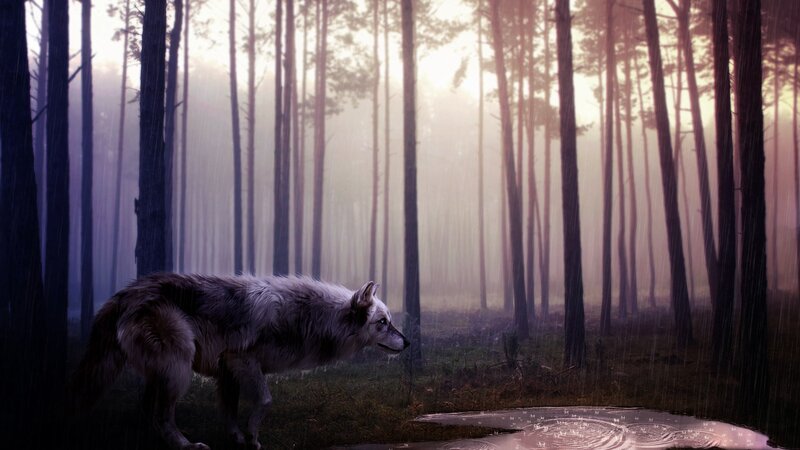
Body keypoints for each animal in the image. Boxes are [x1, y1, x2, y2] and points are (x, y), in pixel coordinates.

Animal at [69, 273, 409, 450]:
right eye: (383, 323)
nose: (407, 342)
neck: (307, 317)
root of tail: (124, 294)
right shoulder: (241, 360)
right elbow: (266, 401)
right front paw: (253, 436)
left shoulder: (227, 372)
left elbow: (230, 411)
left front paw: (237, 438)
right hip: (178, 371)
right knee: (162, 415)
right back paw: (186, 446)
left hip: (165, 373)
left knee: (149, 411)